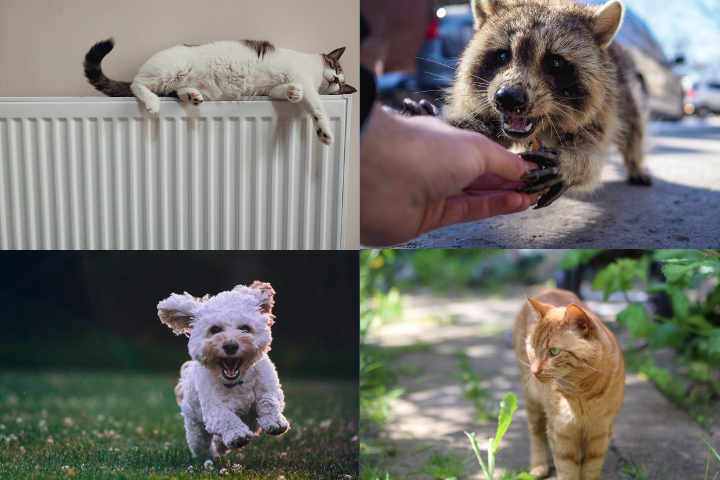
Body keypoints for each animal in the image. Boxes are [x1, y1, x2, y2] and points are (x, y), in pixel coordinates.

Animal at [83, 38, 354, 144]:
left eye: (341, 84)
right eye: (336, 68)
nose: (336, 79)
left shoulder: (274, 87)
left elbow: (287, 91)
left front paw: (293, 94)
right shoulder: (305, 80)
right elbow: (317, 107)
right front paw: (325, 131)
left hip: (174, 81)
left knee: (174, 91)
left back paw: (192, 96)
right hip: (171, 69)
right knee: (137, 85)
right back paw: (152, 102)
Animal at [158, 282, 290, 458]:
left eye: (245, 328)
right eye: (215, 330)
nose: (230, 345)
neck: (238, 382)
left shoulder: (270, 388)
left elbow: (269, 401)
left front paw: (275, 422)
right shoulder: (213, 409)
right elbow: (226, 417)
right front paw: (237, 435)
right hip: (195, 426)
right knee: (201, 444)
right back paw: (210, 455)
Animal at [448, 0, 648, 208]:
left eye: (555, 63)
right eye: (503, 56)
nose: (509, 98)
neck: (544, 125)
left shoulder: (604, 108)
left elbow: (593, 155)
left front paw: (575, 164)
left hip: (624, 92)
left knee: (634, 125)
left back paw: (635, 163)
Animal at [512, 288, 624, 480]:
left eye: (554, 351)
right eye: (532, 348)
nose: (534, 371)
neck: (582, 393)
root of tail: (550, 288)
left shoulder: (600, 433)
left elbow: (590, 470)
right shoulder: (560, 432)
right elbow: (567, 470)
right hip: (532, 402)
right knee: (536, 434)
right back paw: (538, 467)